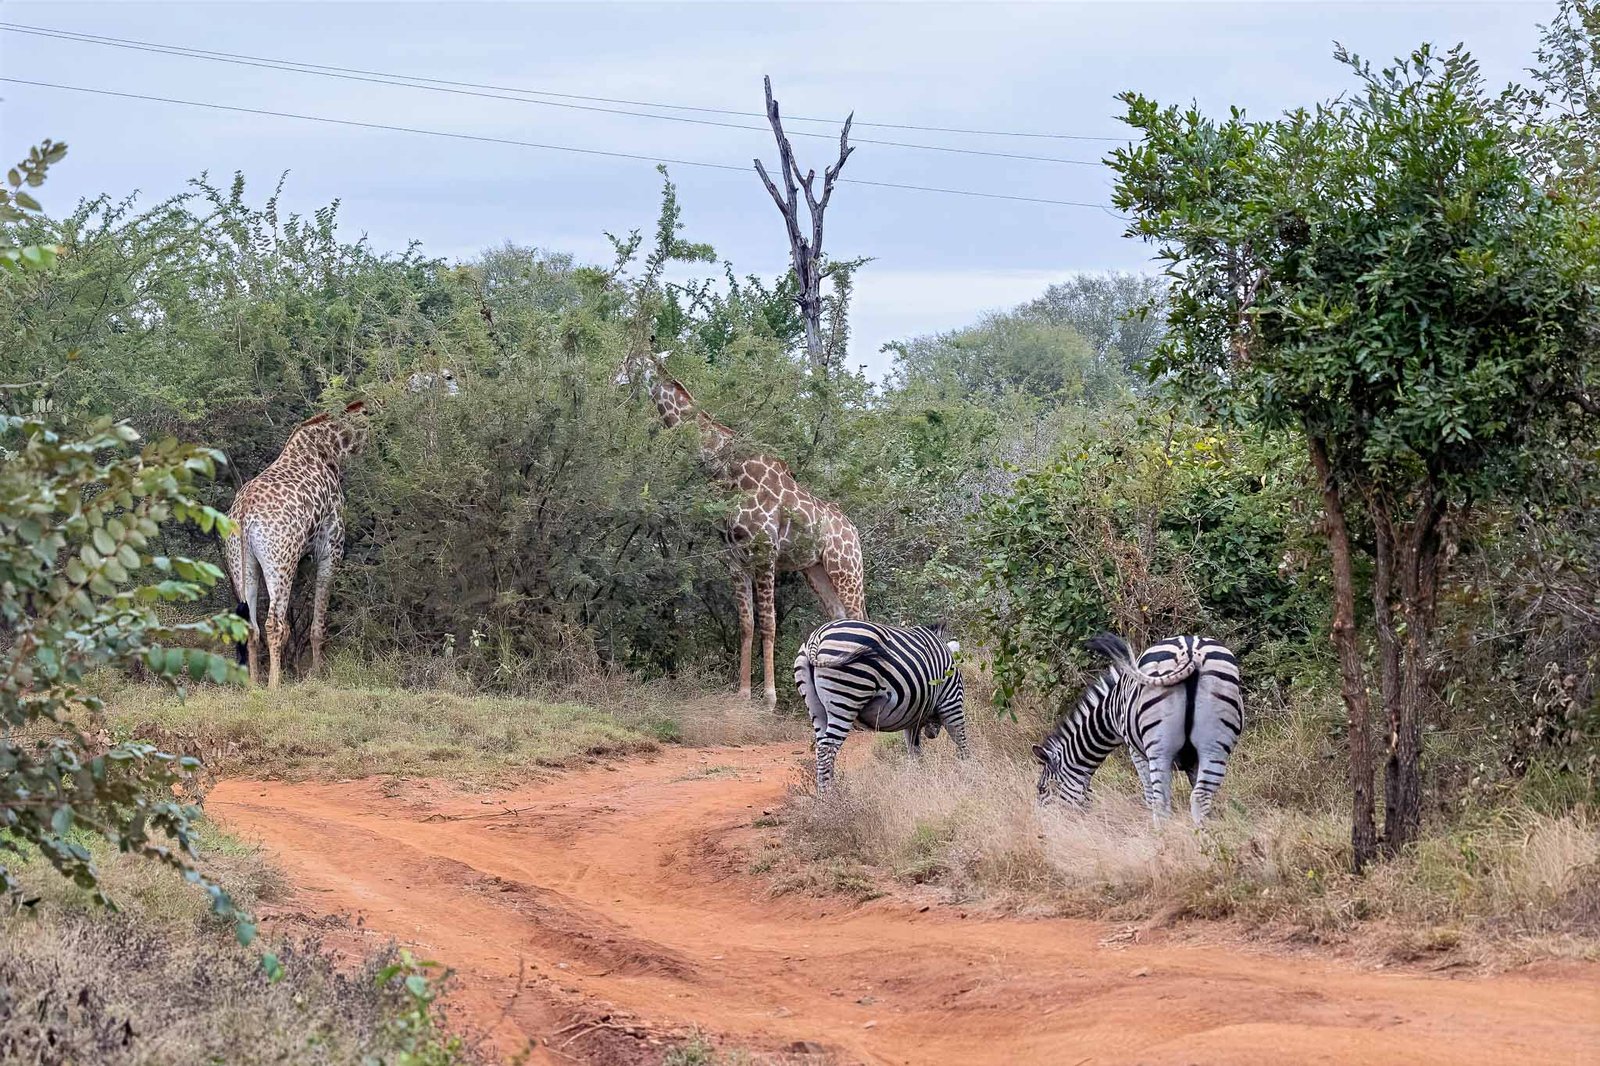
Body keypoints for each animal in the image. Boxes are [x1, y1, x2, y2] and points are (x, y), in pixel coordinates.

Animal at [223, 401, 371, 689]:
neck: (330, 451)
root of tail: (244, 514)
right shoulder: (331, 548)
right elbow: (318, 624)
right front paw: (318, 675)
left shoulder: (302, 557)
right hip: (279, 561)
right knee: (273, 623)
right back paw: (274, 686)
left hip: (242, 563)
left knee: (252, 625)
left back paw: (253, 685)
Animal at [615, 350, 867, 707]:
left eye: (630, 362)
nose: (613, 382)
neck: (727, 473)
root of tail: (853, 532)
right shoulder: (734, 558)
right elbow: (746, 623)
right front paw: (743, 693)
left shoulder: (765, 554)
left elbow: (769, 623)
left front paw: (770, 698)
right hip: (816, 570)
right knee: (840, 619)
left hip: (845, 568)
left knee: (862, 620)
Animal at [794, 619, 969, 792]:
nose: (932, 733)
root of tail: (817, 636)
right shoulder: (951, 701)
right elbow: (961, 741)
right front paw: (968, 772)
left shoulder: (913, 717)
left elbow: (914, 751)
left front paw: (918, 780)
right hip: (846, 699)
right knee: (827, 748)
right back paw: (830, 795)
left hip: (816, 708)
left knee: (820, 748)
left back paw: (828, 792)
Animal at [1032, 633, 1242, 825]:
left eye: (1042, 789)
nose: (1043, 824)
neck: (1111, 710)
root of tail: (1190, 651)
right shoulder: (1192, 761)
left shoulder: (1135, 750)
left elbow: (1149, 797)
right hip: (1215, 746)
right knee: (1201, 796)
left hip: (1159, 747)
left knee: (1161, 800)